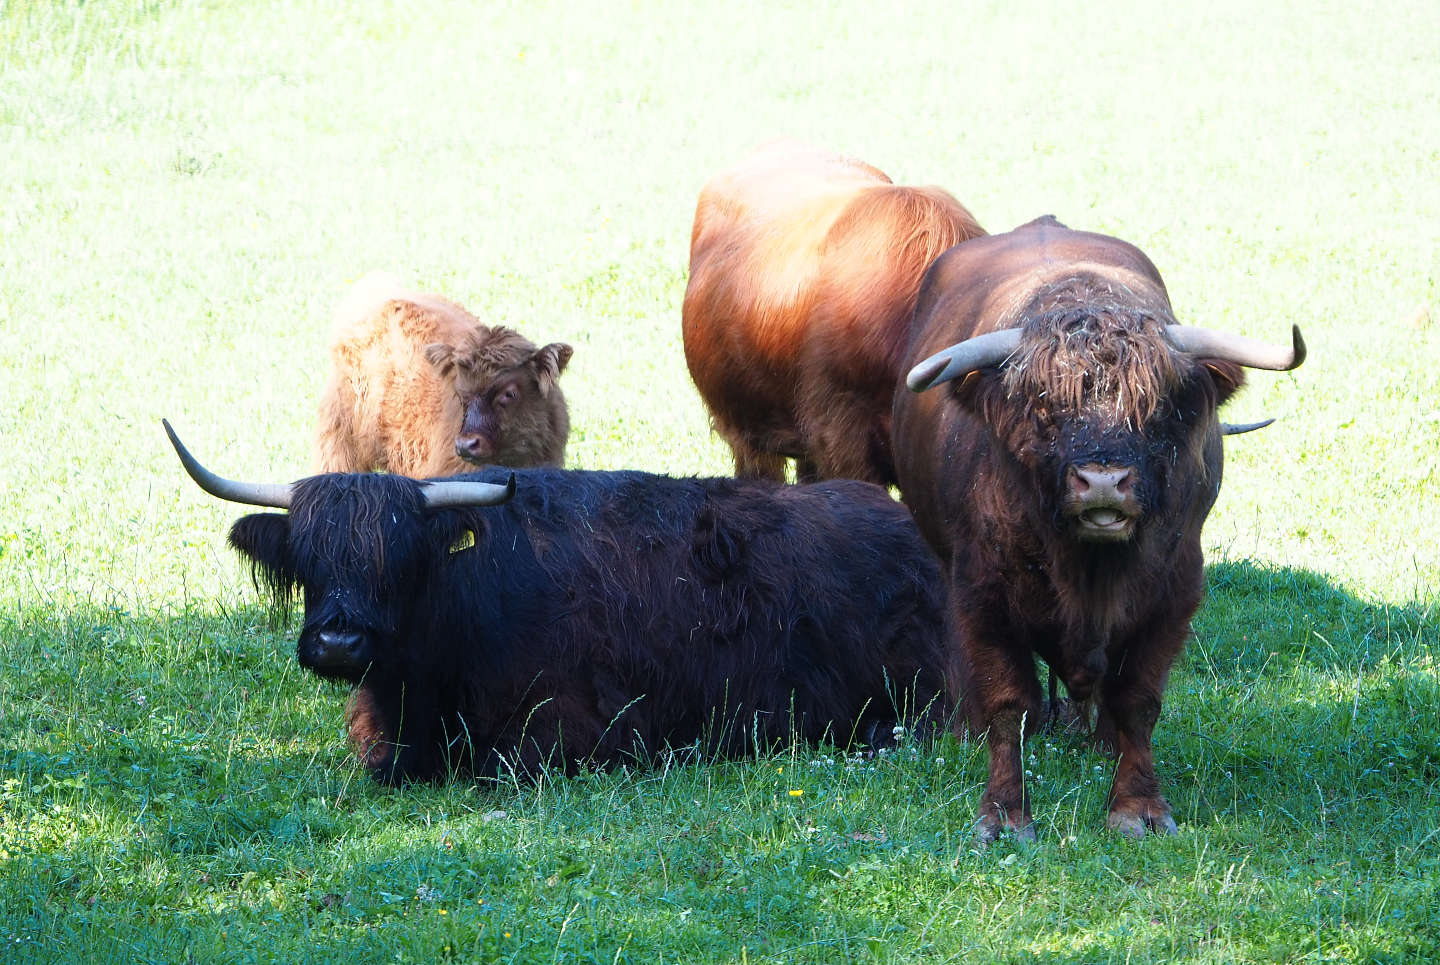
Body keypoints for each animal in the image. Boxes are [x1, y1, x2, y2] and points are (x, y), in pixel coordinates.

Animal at [893, 216, 1305, 842]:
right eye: (1044, 407)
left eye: (1157, 406)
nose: (1103, 482)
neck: (1090, 570)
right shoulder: (980, 593)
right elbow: (1009, 702)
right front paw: (1004, 815)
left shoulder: (1175, 592)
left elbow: (1137, 699)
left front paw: (1138, 807)